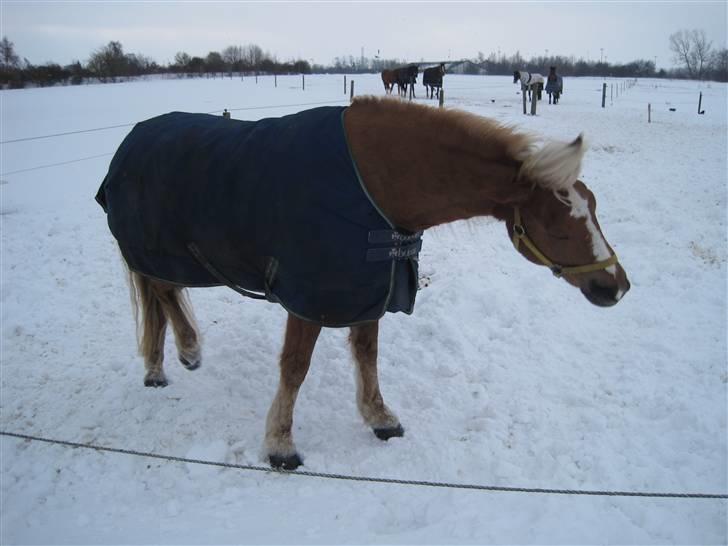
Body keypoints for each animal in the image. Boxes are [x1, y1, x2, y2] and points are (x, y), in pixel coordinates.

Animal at [95, 96, 632, 468]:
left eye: (594, 210)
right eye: (559, 226)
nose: (616, 285)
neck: (373, 183)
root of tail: (130, 142)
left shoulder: (368, 288)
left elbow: (368, 356)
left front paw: (380, 418)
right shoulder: (310, 298)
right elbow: (295, 368)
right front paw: (280, 445)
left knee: (161, 296)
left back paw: (166, 362)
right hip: (154, 250)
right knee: (162, 293)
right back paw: (181, 354)